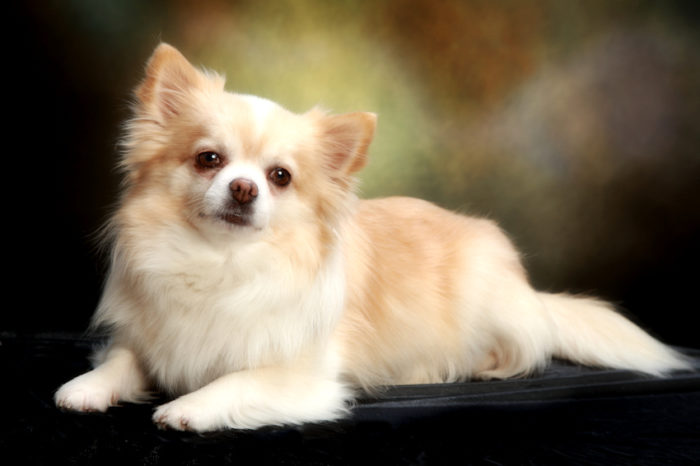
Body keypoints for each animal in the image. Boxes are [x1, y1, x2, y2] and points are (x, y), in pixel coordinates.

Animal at [56, 44, 688, 434]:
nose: (242, 188)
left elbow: (237, 379)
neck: (221, 263)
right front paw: (86, 387)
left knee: (512, 351)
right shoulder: (152, 340)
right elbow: (123, 361)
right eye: (209, 160)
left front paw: (188, 406)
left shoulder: (301, 377)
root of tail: (526, 289)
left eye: (280, 177)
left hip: (489, 305)